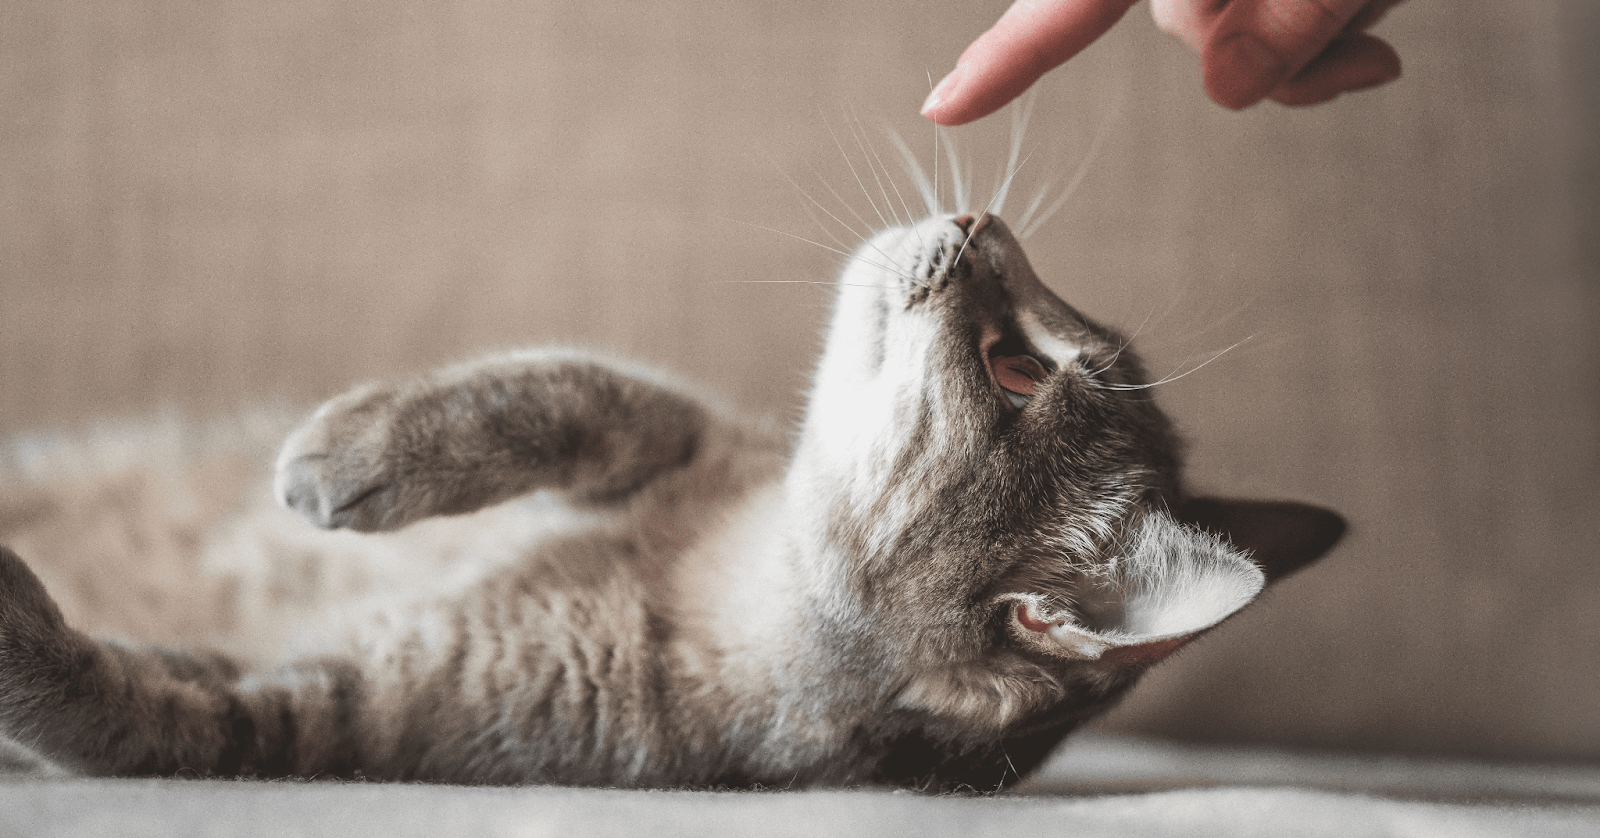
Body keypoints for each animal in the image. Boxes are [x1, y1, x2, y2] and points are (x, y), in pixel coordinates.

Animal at [0, 212, 1337, 790]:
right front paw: (364, 446)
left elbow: (135, 707)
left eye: (1017, 370)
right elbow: (566, 392)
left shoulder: (344, 713)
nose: (980, 214)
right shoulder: (686, 433)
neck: (716, 571)